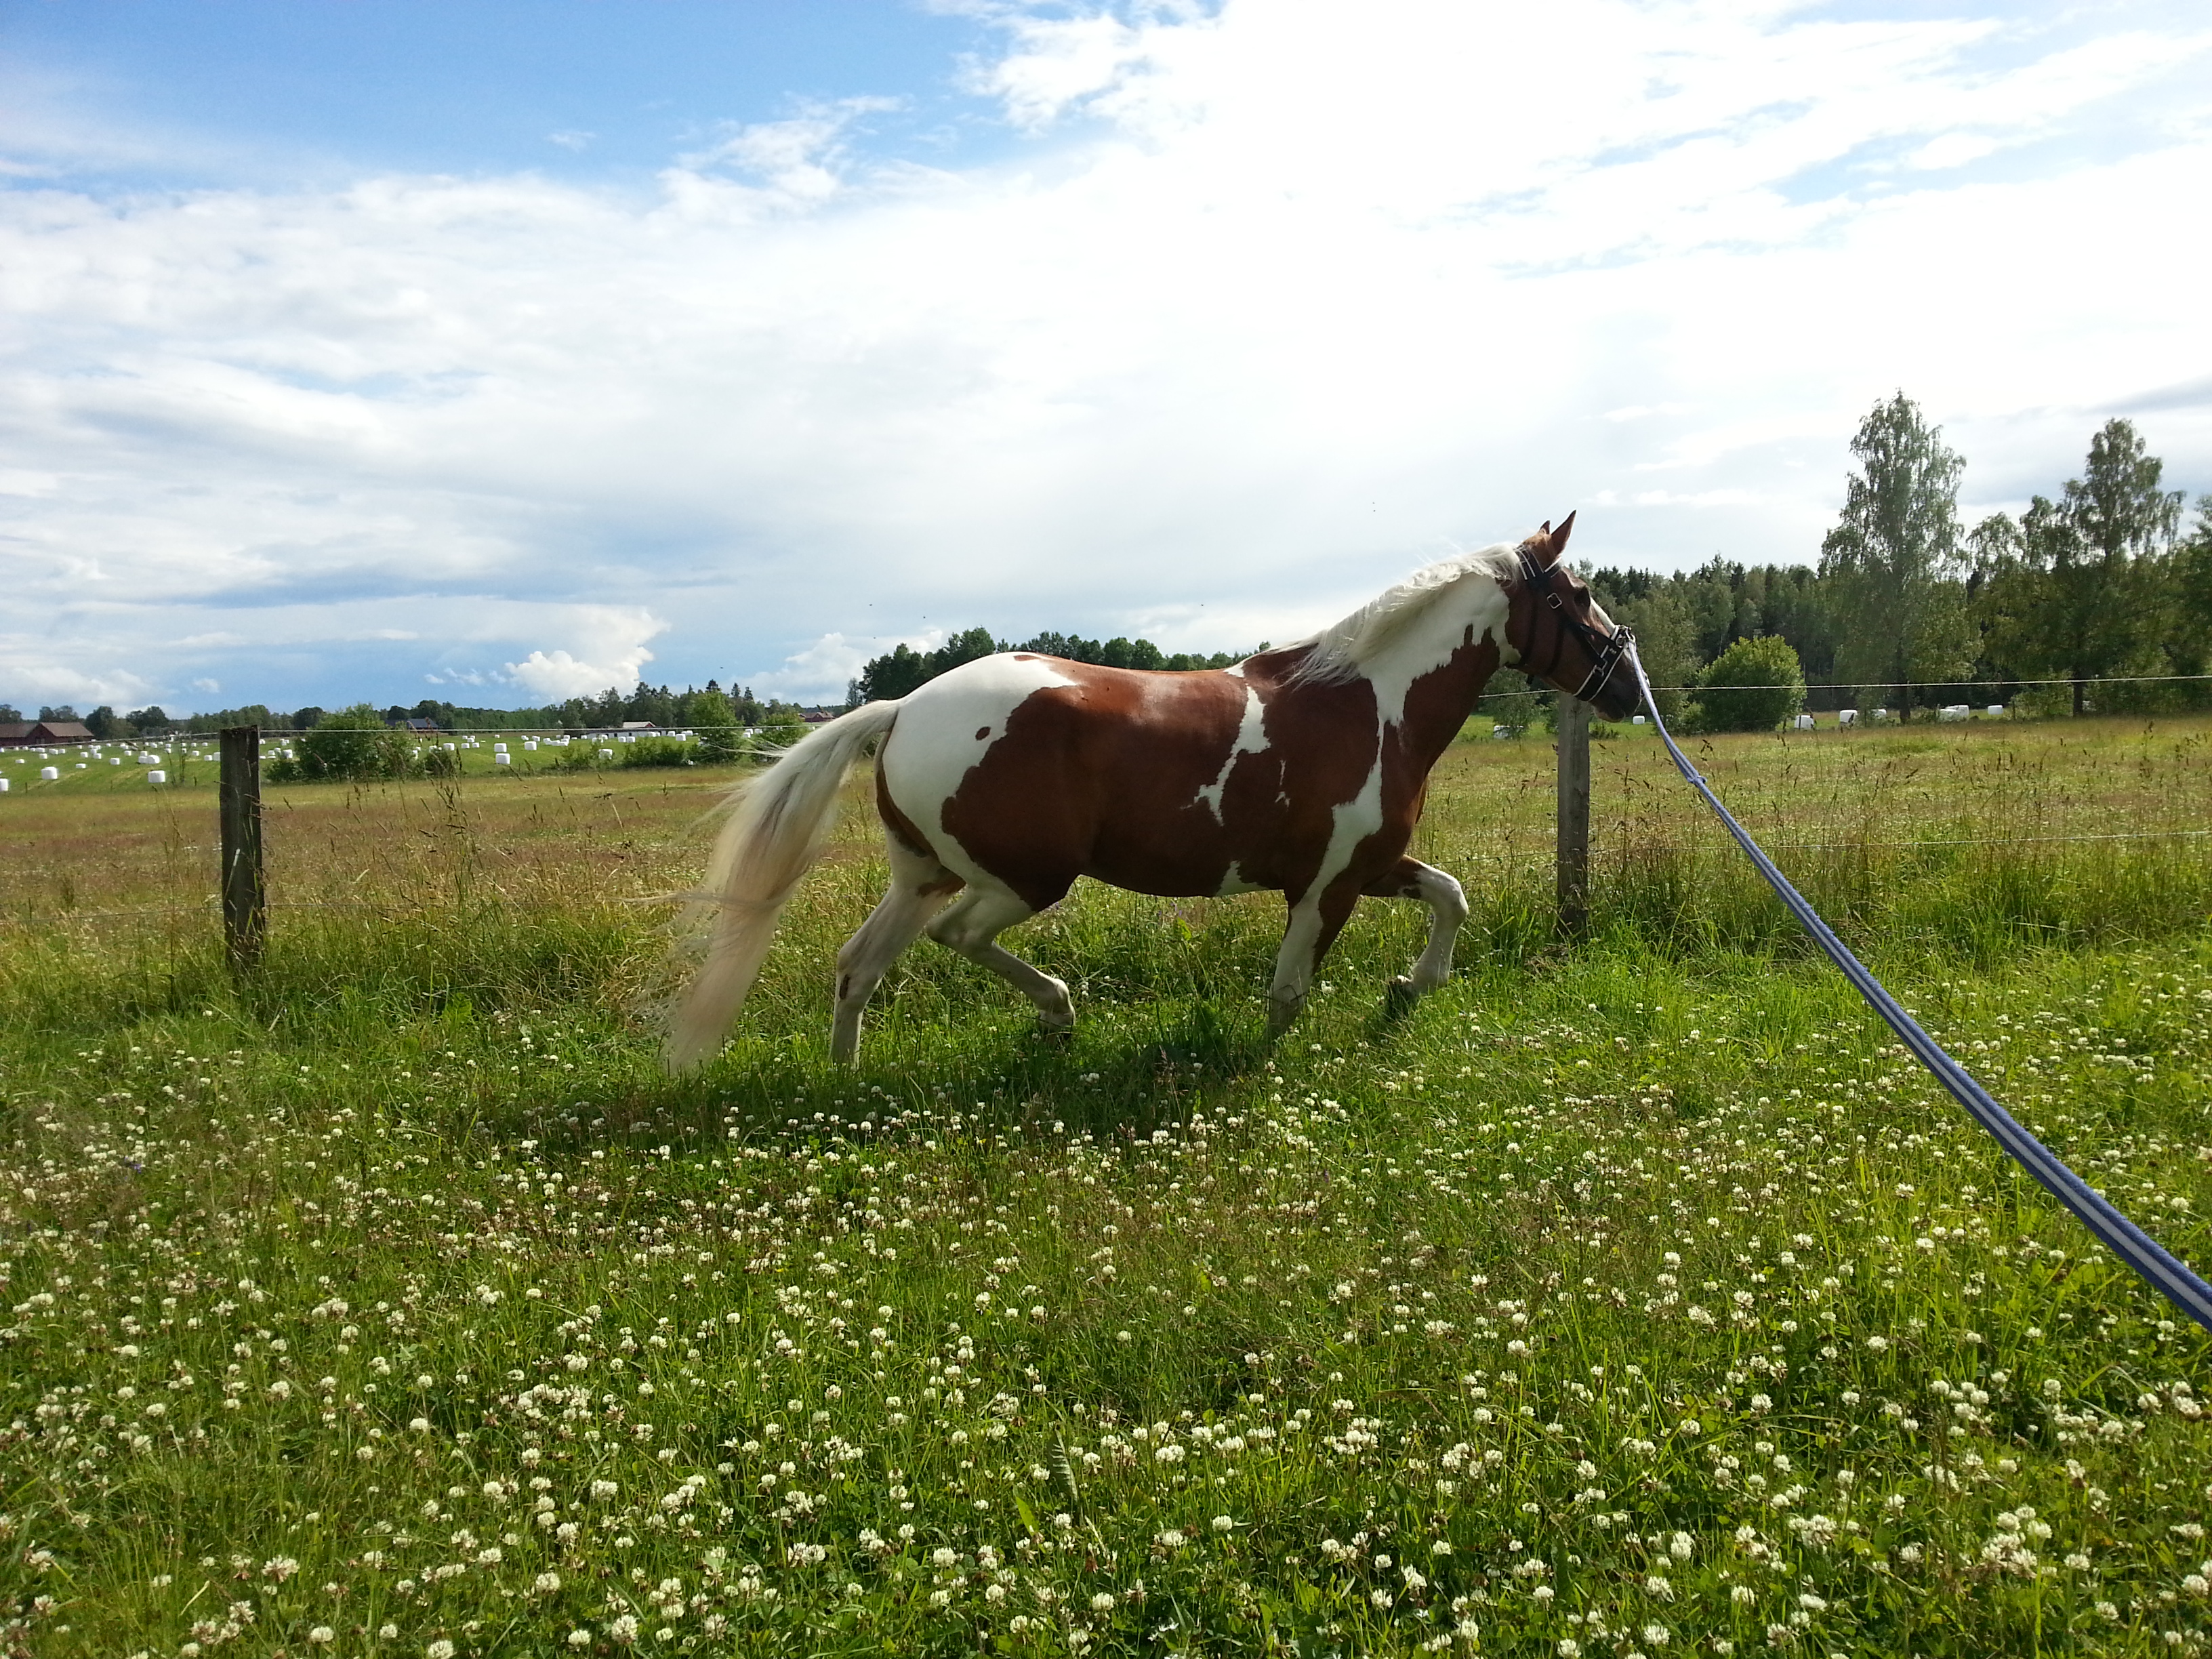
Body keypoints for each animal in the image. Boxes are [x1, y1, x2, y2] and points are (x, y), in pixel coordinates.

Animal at [666, 514, 1637, 1069]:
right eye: (1581, 591)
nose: (1627, 686)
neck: (1369, 703)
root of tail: (905, 708)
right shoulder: (1328, 886)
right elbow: (1289, 995)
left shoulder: (1368, 864)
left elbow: (1451, 895)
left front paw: (1411, 986)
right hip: (1021, 879)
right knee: (957, 938)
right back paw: (1057, 1013)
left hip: (923, 874)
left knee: (859, 966)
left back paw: (848, 1079)